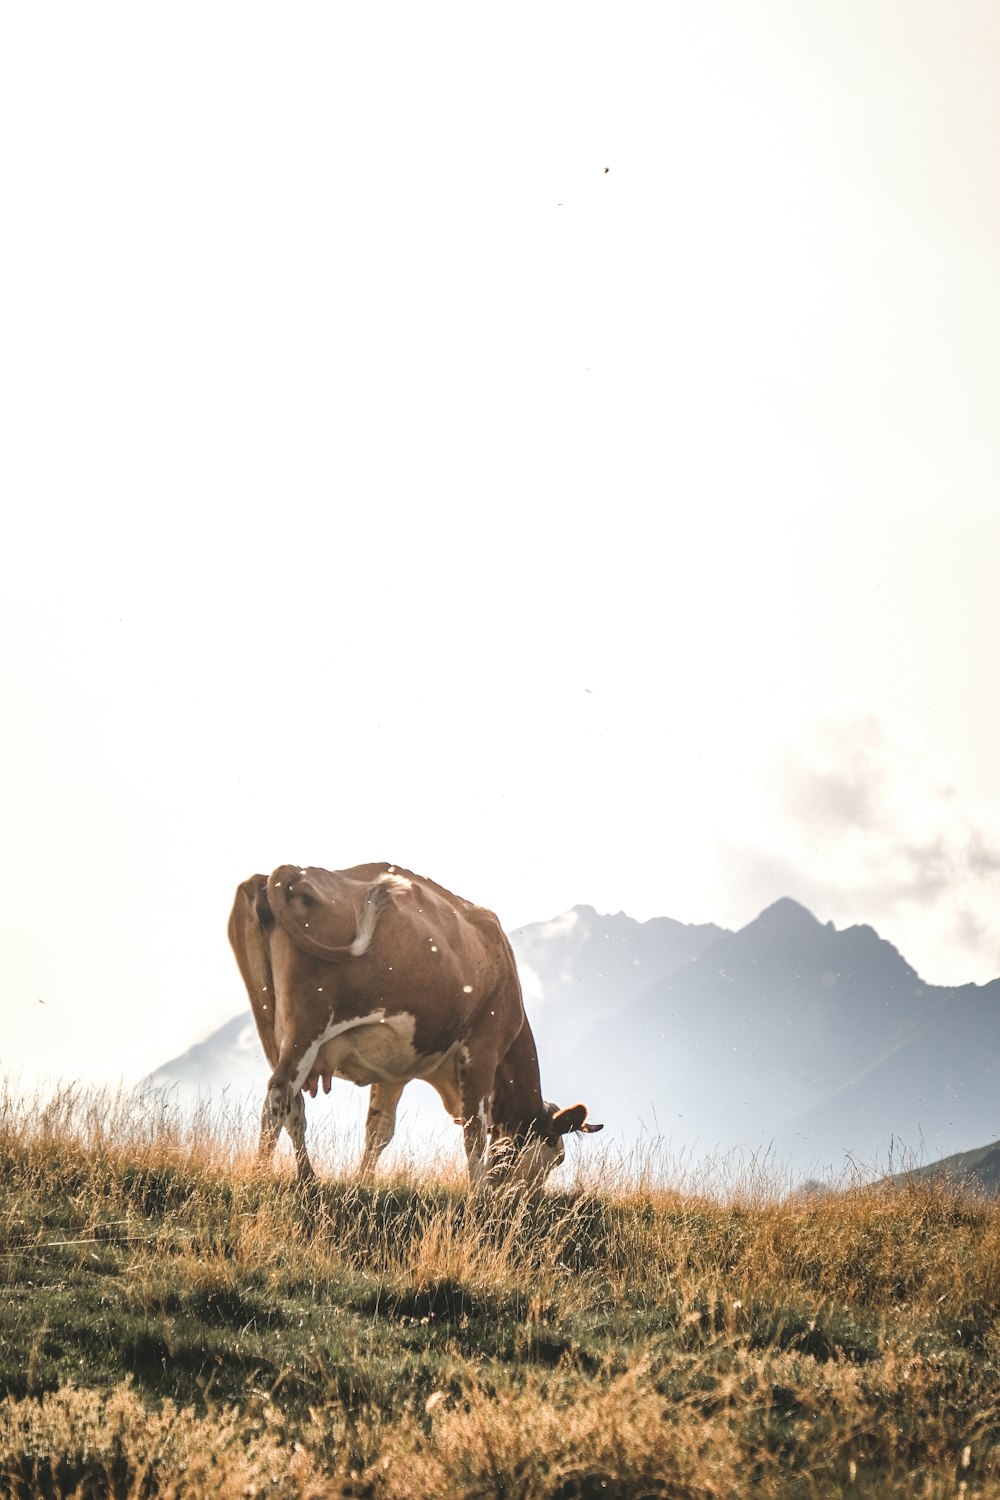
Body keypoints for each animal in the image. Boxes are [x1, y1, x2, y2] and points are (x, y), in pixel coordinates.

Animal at [226, 864, 602, 1188]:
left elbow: (379, 1130)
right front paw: (479, 1193)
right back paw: (264, 1173)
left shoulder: (395, 1069)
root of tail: (291, 871)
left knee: (291, 1107)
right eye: (557, 1158)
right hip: (308, 1024)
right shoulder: (482, 1050)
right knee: (279, 1096)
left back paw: (307, 1176)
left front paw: (363, 1183)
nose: (525, 1201)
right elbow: (474, 1131)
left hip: (271, 1027)